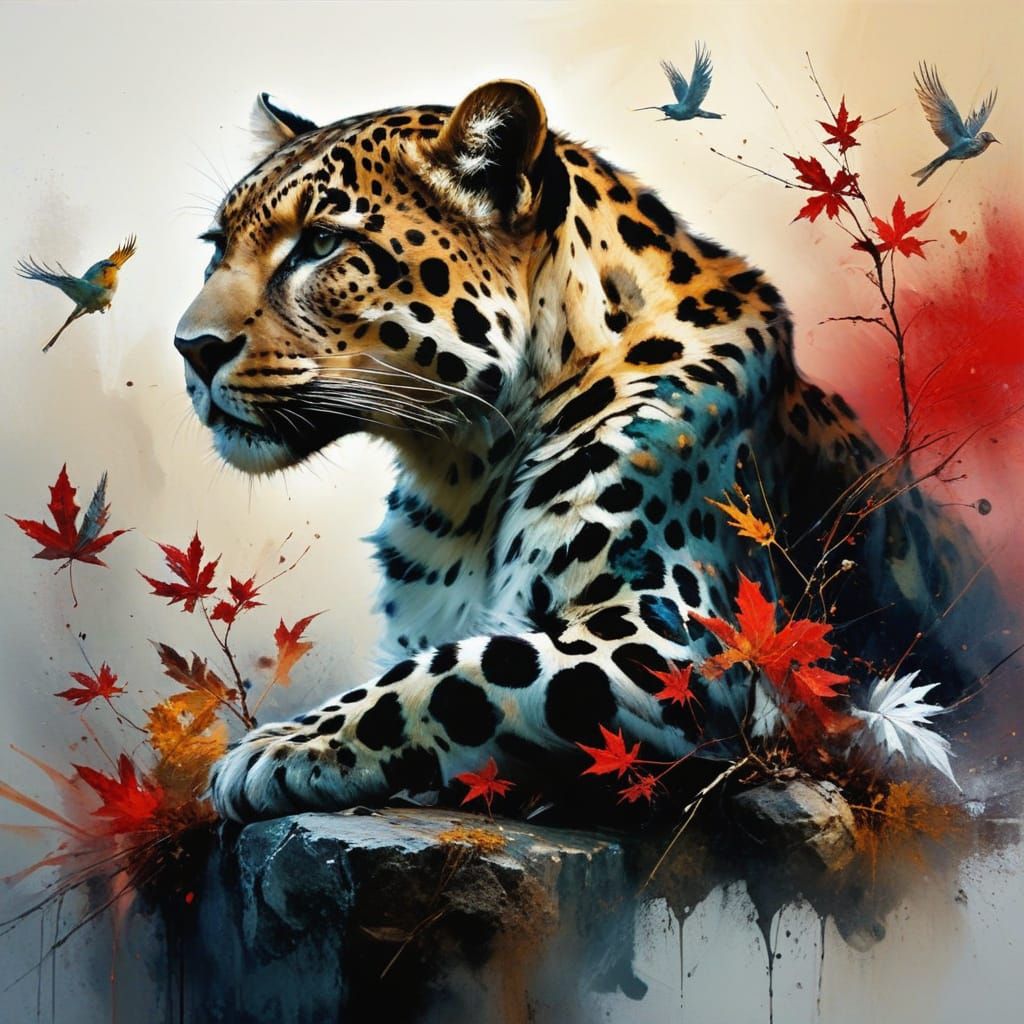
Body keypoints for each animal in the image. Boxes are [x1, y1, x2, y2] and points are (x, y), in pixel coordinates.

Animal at [173, 81, 1004, 823]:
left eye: (320, 243)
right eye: (216, 247)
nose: (191, 348)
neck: (459, 475)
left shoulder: (677, 641)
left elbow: (460, 669)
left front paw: (278, 748)